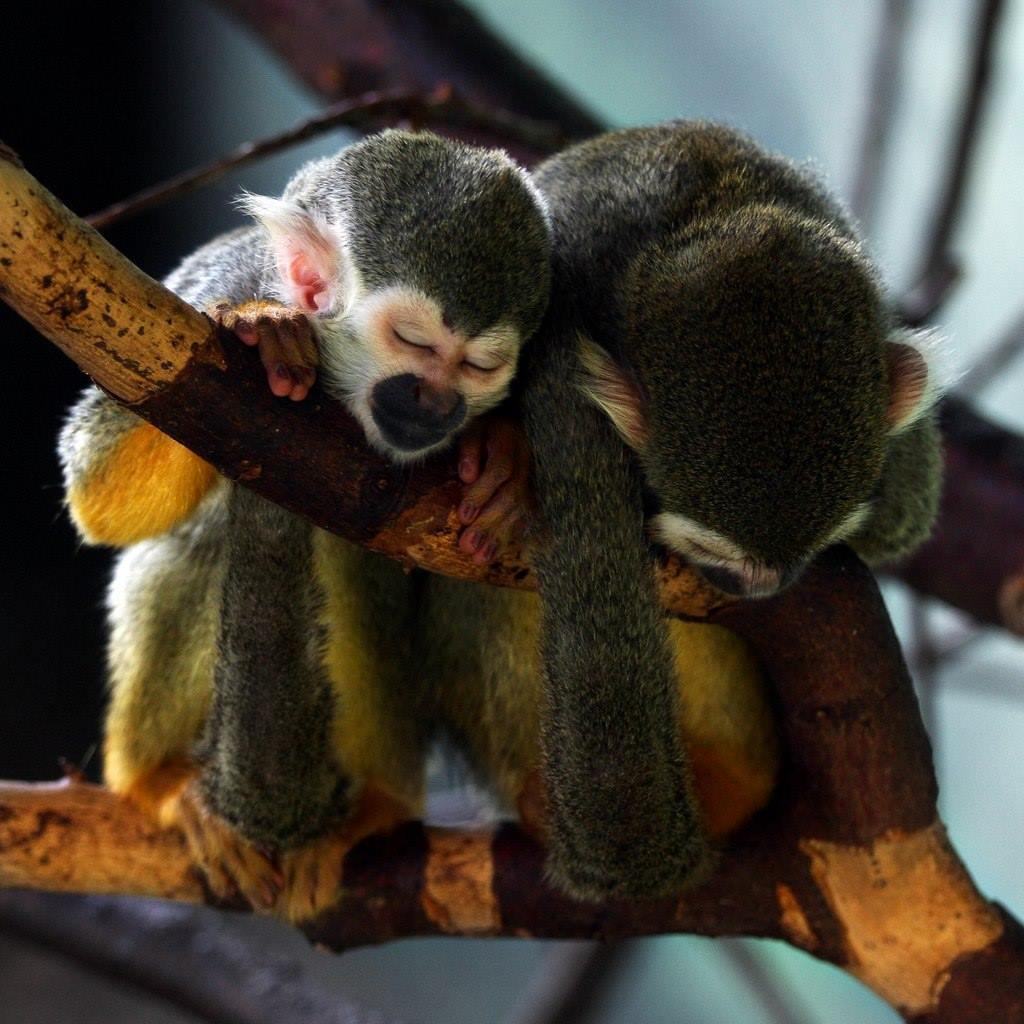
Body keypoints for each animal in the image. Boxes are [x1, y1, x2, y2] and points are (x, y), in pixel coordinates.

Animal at [59, 128, 552, 919]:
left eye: (480, 366)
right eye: (415, 342)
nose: (440, 404)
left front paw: (503, 451)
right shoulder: (203, 293)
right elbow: (98, 493)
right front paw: (260, 330)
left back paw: (375, 805)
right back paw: (158, 780)